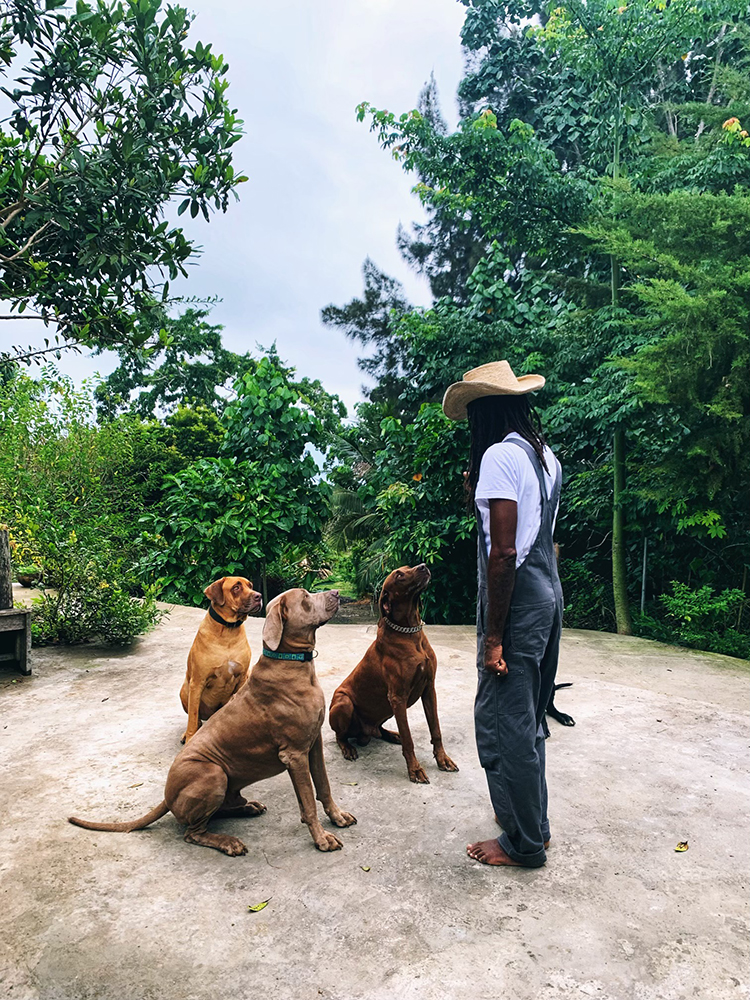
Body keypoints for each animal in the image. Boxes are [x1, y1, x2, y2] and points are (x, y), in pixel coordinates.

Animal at [181, 580, 262, 744]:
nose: (259, 596)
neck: (227, 632)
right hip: (185, 690)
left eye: (250, 585)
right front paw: (190, 737)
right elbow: (193, 716)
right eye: (236, 587)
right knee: (196, 718)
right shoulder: (197, 682)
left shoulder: (242, 677)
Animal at [328, 568, 458, 784]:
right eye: (399, 575)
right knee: (340, 735)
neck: (410, 633)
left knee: (379, 730)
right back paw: (348, 748)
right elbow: (408, 738)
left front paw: (443, 759)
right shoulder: (397, 697)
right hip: (344, 703)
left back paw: (390, 734)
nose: (424, 566)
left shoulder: (429, 688)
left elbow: (436, 729)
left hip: (386, 710)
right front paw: (415, 770)